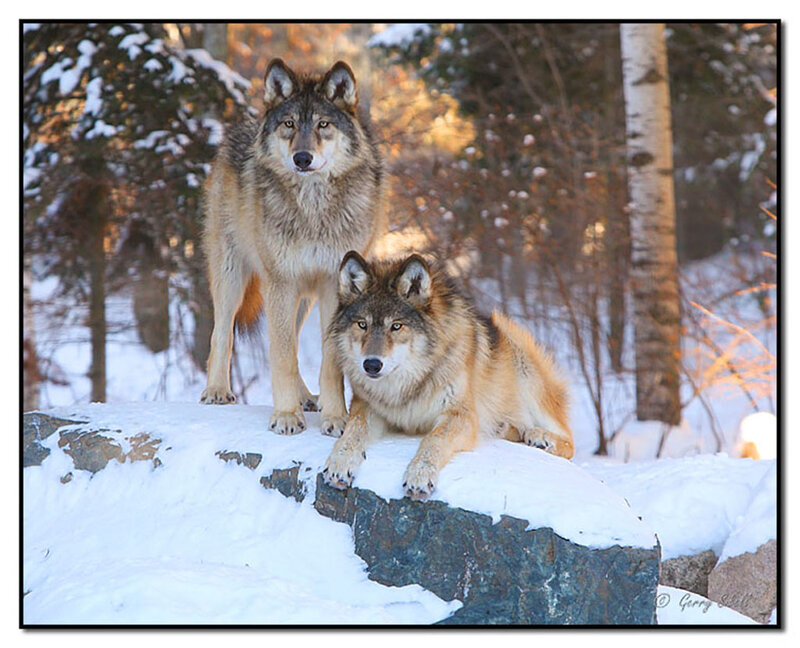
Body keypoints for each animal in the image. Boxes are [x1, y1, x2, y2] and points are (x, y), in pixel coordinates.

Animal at [200, 59, 385, 438]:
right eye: (289, 124)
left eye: (323, 124)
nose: (302, 158)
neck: (313, 208)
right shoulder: (281, 281)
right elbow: (281, 355)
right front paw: (286, 416)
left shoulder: (332, 284)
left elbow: (328, 360)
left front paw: (335, 418)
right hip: (234, 277)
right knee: (222, 332)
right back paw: (217, 390)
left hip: (301, 296)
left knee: (296, 342)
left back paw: (307, 398)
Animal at [323, 251, 574, 500]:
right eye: (362, 324)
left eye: (396, 326)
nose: (372, 365)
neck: (408, 383)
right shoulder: (366, 406)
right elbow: (354, 430)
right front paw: (339, 463)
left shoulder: (461, 415)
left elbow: (433, 439)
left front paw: (419, 476)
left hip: (524, 365)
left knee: (569, 441)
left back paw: (540, 437)